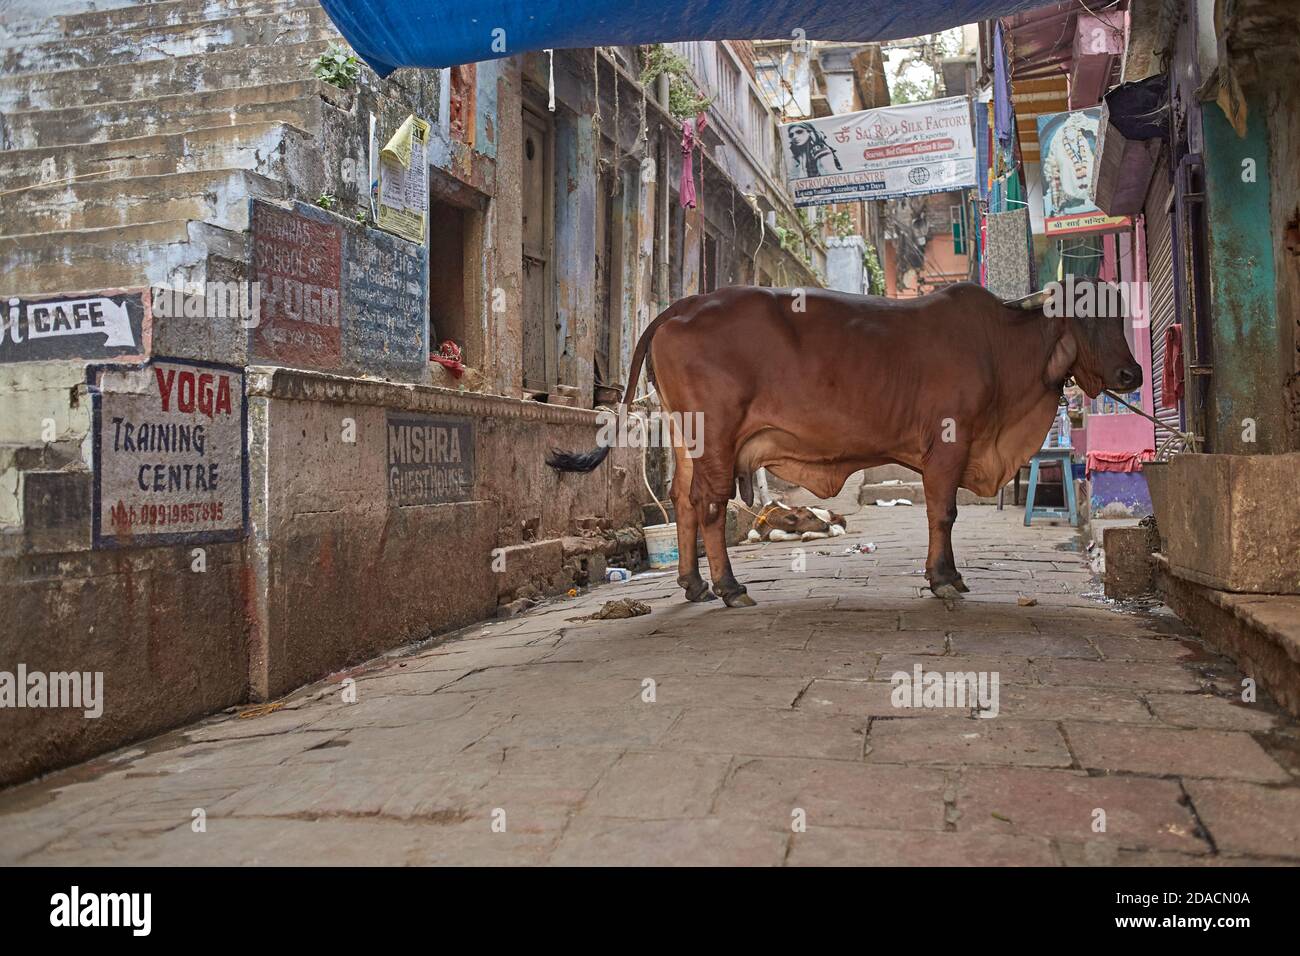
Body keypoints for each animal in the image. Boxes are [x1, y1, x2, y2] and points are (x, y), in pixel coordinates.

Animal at [548, 282, 1138, 606]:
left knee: (682, 500)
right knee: (709, 503)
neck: (1001, 348)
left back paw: (694, 585)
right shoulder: (948, 445)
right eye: (1090, 317)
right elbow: (942, 513)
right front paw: (944, 578)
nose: (1131, 374)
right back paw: (730, 588)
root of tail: (682, 305)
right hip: (715, 433)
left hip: (686, 435)